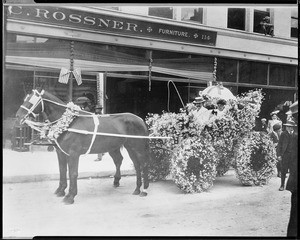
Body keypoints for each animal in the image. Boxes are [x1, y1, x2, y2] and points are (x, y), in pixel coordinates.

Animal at [15, 89, 150, 204]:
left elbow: (73, 173)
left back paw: (144, 190)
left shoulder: (73, 154)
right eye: (25, 99)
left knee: (143, 164)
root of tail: (141, 120)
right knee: (135, 165)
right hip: (129, 147)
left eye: (31, 101)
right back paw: (136, 188)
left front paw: (70, 196)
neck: (69, 123)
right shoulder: (61, 153)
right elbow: (62, 171)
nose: (18, 117)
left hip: (137, 148)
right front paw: (61, 190)